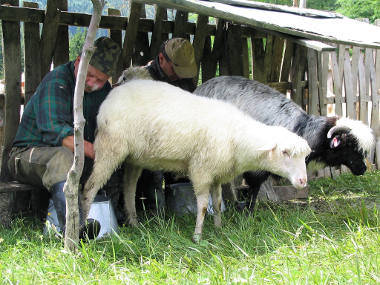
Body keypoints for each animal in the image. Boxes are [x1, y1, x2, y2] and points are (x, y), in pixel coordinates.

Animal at [81, 79, 310, 241]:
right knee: (90, 187)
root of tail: (112, 95)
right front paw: (197, 236)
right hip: (110, 147)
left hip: (134, 157)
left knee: (129, 187)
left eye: (305, 156)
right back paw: (83, 224)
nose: (303, 182)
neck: (237, 136)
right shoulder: (202, 171)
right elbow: (202, 206)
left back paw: (134, 223)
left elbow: (217, 203)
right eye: (285, 152)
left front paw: (218, 229)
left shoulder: (218, 174)